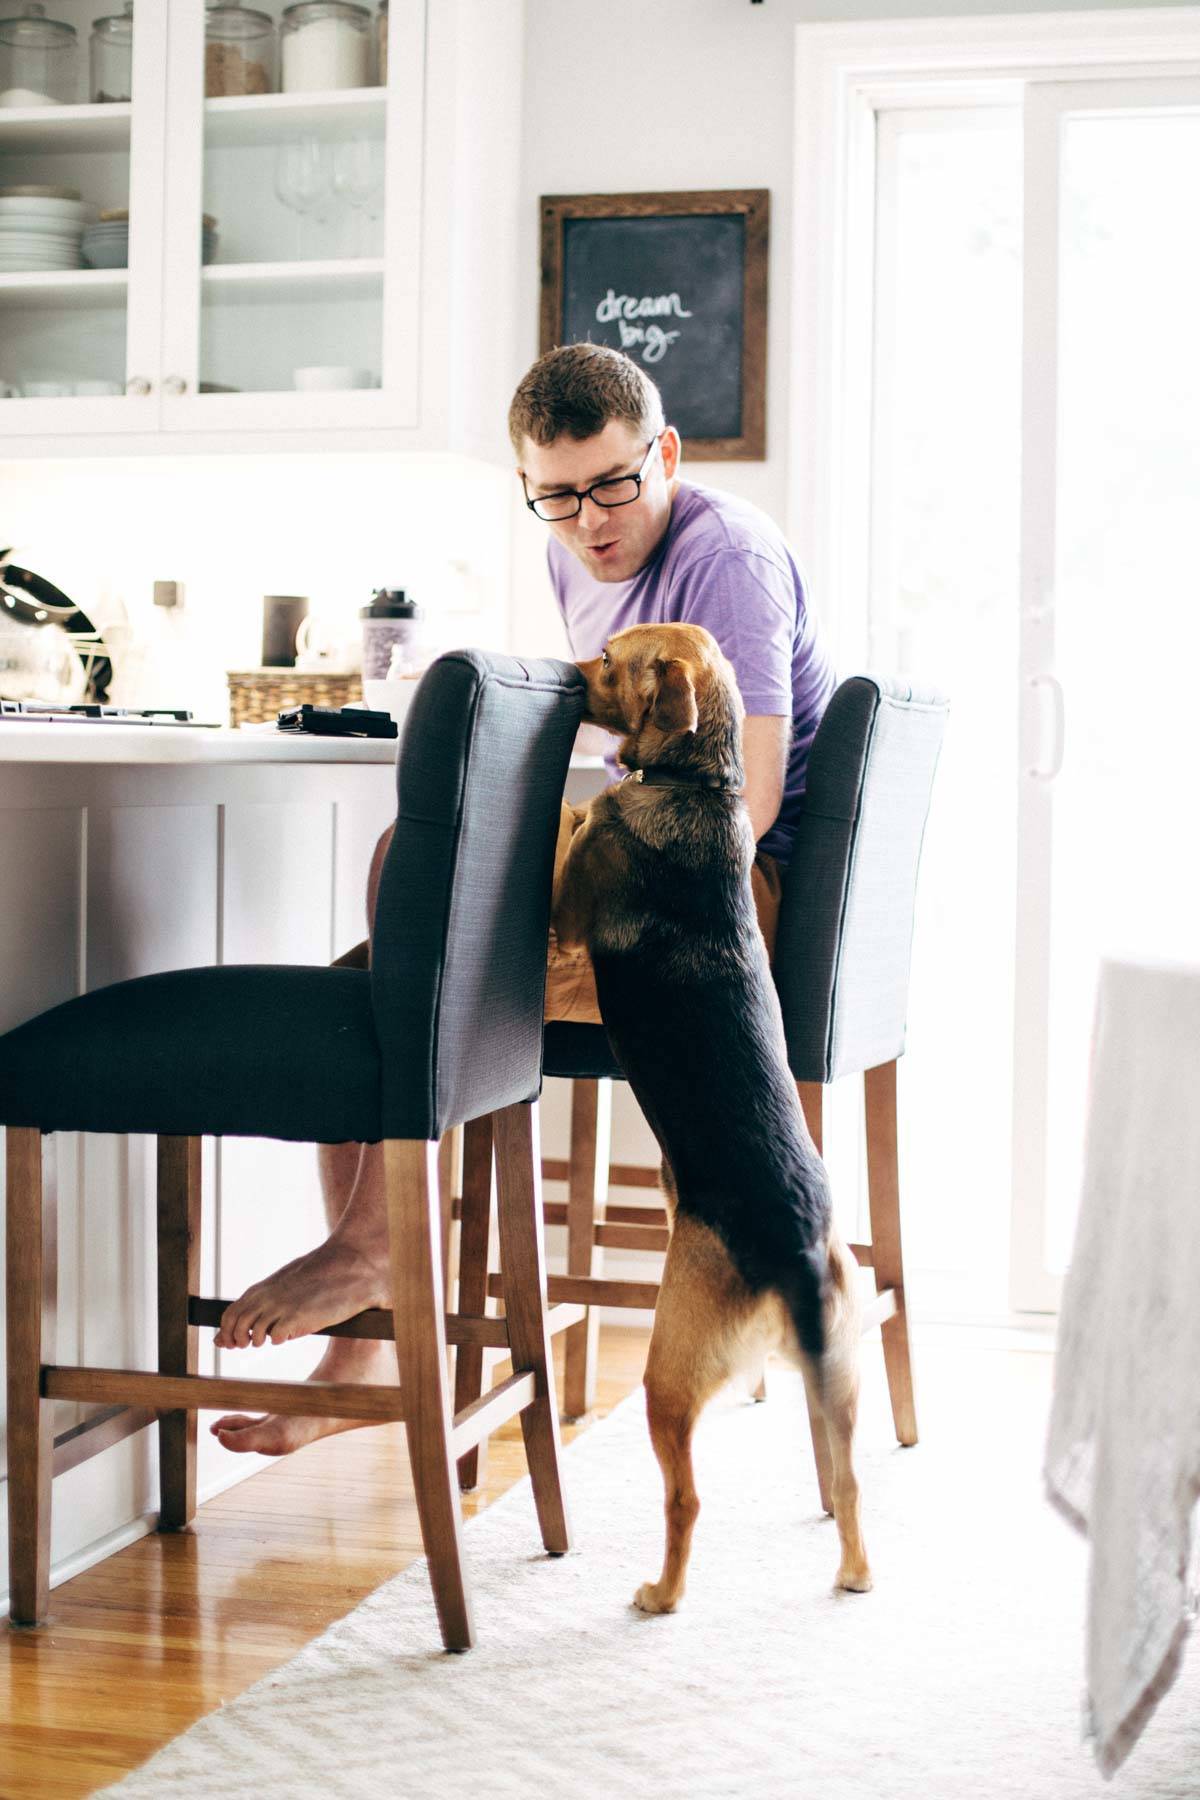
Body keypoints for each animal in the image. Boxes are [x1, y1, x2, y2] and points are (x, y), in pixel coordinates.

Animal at [554, 626, 874, 1612]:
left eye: (610, 658)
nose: (562, 673)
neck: (697, 782)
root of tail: (796, 1248)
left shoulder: (567, 913)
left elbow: (578, 829)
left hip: (667, 1373)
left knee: (686, 1500)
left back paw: (661, 1595)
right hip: (837, 1373)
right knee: (848, 1481)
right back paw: (853, 1573)